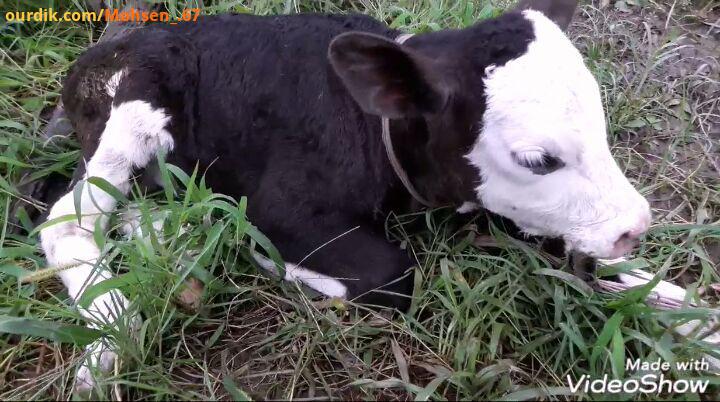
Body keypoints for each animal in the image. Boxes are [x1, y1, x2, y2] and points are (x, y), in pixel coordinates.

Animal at [40, 0, 660, 392]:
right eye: (538, 160)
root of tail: (109, 45)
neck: (373, 127)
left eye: (601, 125)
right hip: (136, 106)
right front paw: (271, 260)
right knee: (66, 220)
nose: (634, 225)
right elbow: (393, 275)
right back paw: (109, 342)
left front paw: (664, 301)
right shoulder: (281, 209)